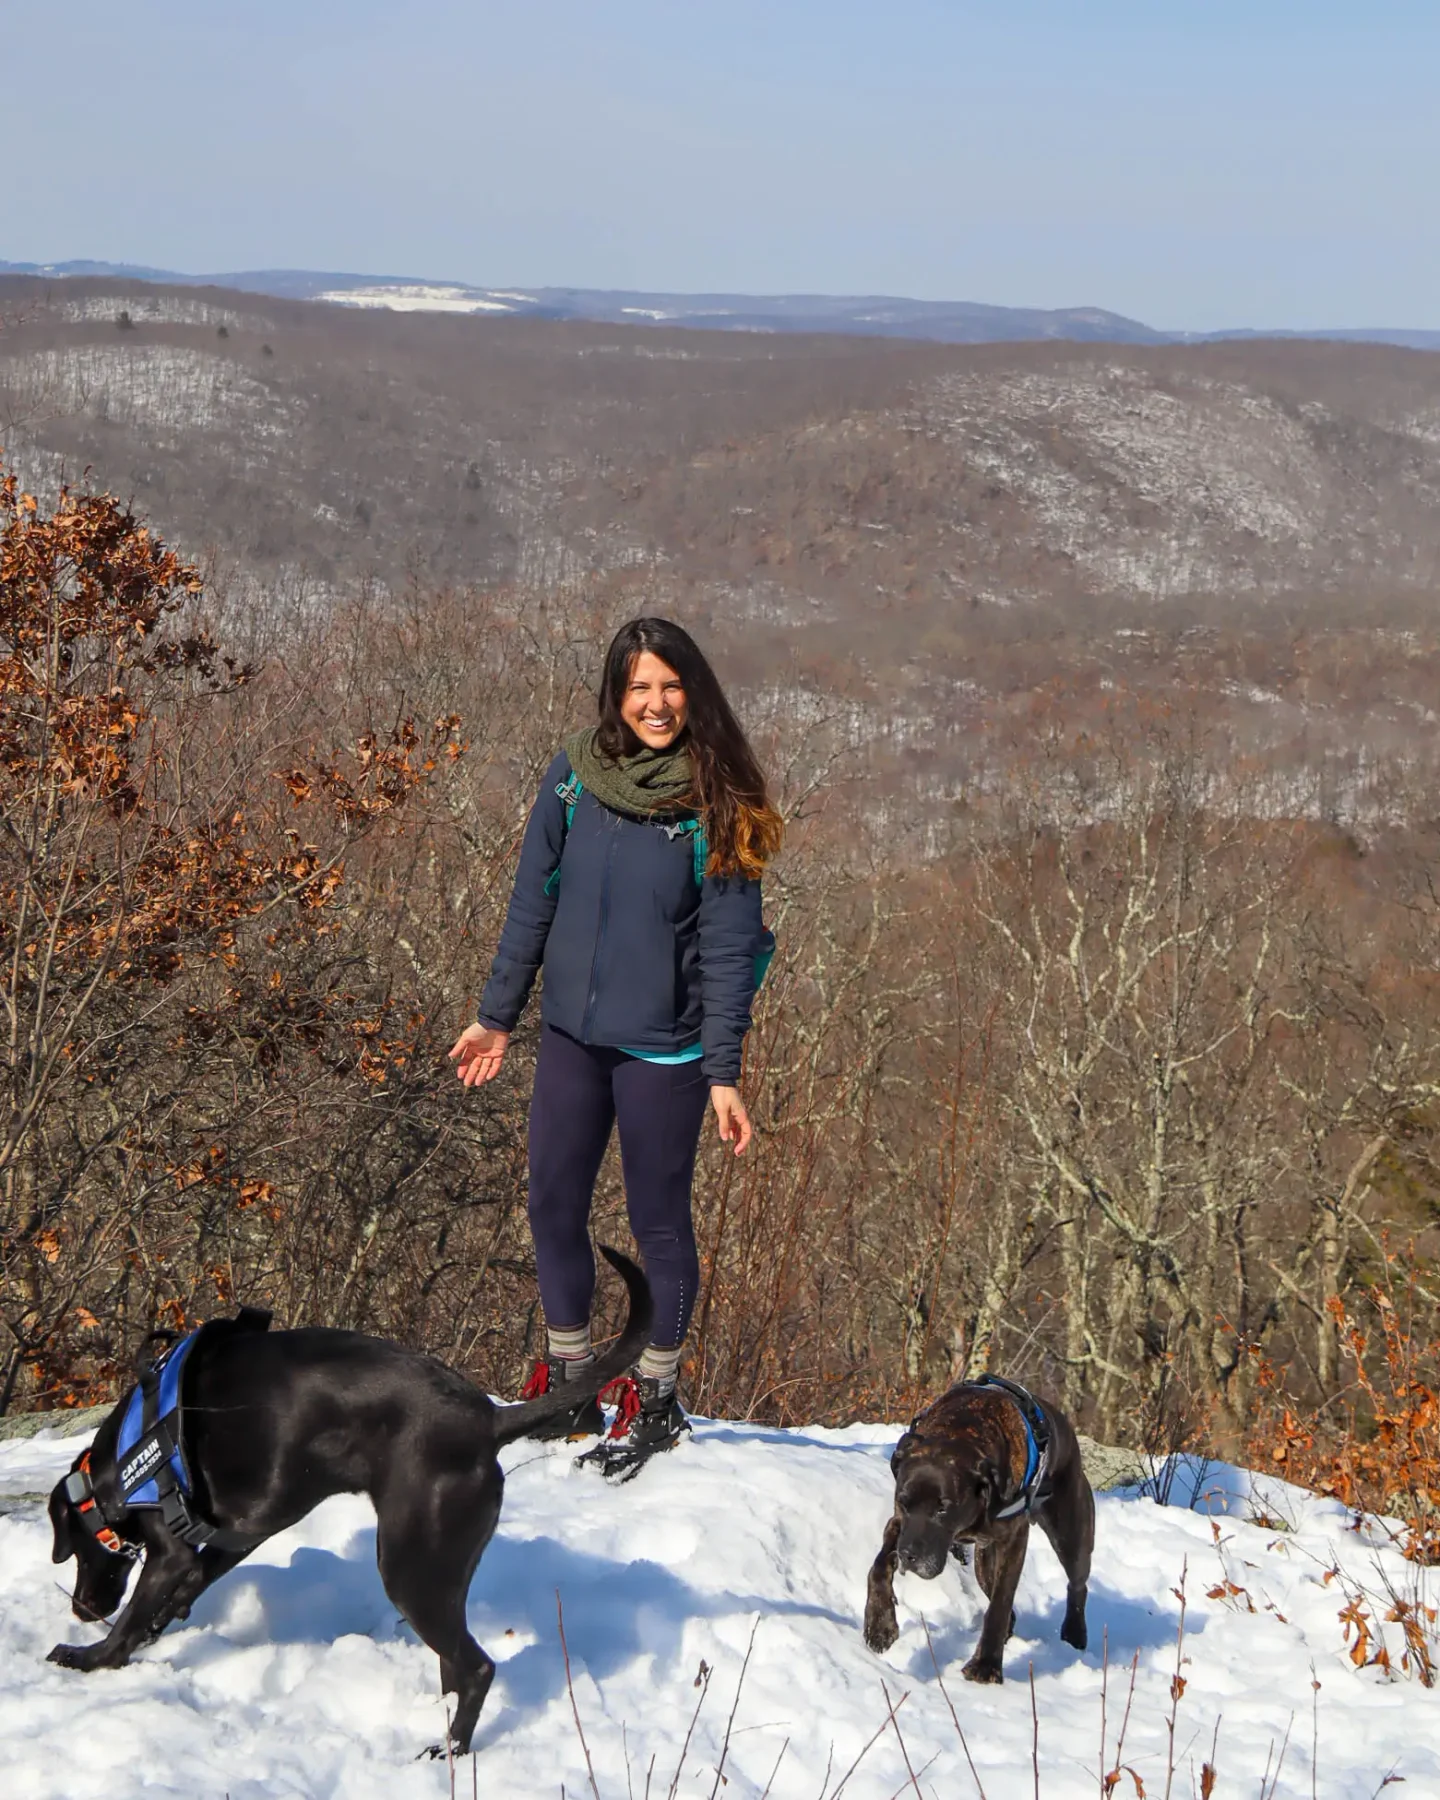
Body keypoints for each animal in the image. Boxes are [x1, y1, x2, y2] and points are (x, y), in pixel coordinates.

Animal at [46, 1245, 651, 1749]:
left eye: (79, 1548)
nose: (80, 1609)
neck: (116, 1464)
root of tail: (486, 1421)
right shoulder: (240, 1532)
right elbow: (188, 1582)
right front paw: (159, 1623)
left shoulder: (169, 1549)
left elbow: (135, 1613)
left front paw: (90, 1656)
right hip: (440, 1572)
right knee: (454, 1664)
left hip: (410, 1567)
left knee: (477, 1668)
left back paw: (447, 1749)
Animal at [867, 1375, 1094, 1684]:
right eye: (904, 1501)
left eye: (943, 1509)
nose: (908, 1556)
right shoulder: (899, 1524)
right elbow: (878, 1567)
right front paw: (879, 1626)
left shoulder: (1013, 1540)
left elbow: (999, 1604)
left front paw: (985, 1667)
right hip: (985, 1562)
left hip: (1071, 1535)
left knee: (1077, 1584)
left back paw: (1074, 1633)